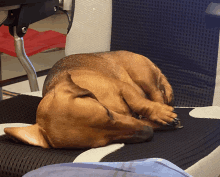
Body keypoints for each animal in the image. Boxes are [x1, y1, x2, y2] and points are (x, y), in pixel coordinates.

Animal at [4, 50, 180, 149]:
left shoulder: (123, 88)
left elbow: (140, 103)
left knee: (157, 94)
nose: (148, 133)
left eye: (107, 112)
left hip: (142, 75)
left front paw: (160, 114)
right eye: (102, 143)